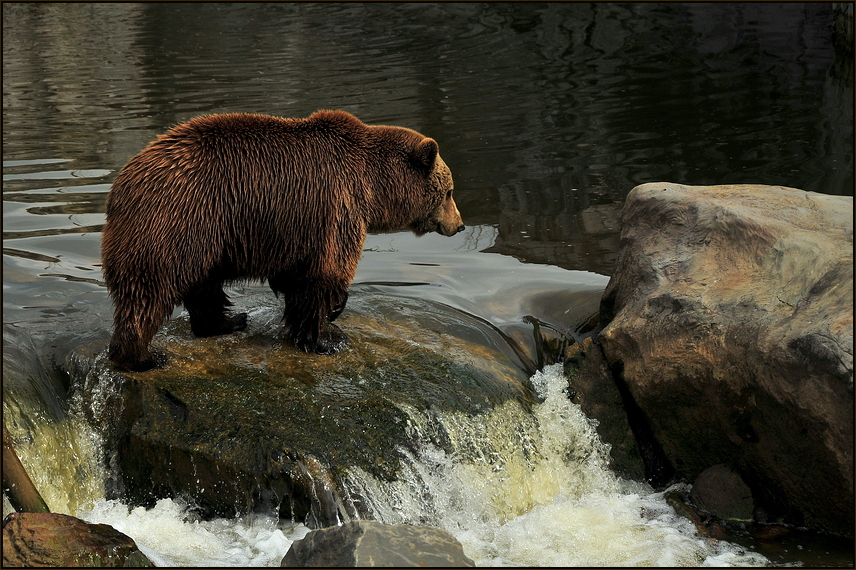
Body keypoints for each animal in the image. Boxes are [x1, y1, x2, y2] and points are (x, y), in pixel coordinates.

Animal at [101, 108, 464, 370]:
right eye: (448, 191)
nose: (459, 225)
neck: (374, 187)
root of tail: (123, 182)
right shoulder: (338, 206)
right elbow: (326, 273)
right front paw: (323, 339)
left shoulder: (295, 230)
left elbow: (297, 277)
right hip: (182, 222)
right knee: (149, 292)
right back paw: (143, 357)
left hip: (206, 239)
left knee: (204, 285)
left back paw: (229, 322)